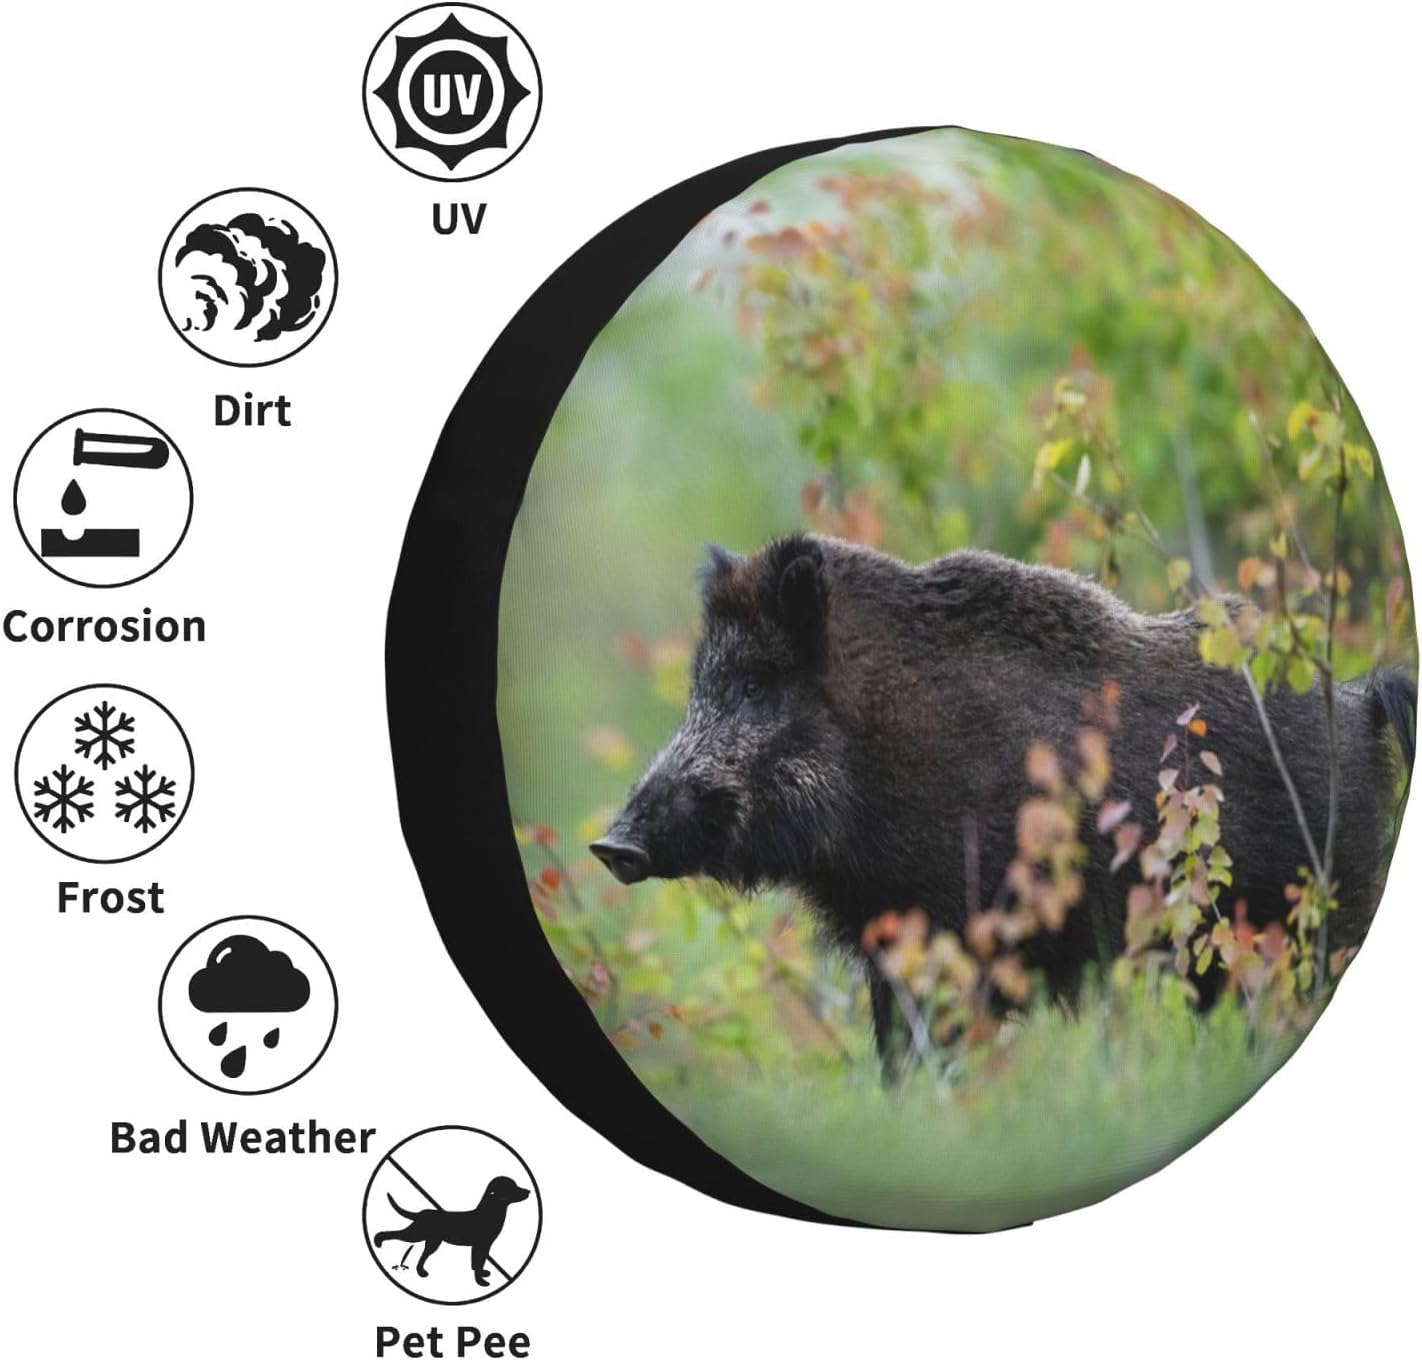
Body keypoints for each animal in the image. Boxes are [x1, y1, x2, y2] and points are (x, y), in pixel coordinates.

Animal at [589, 534, 1414, 1059]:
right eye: (701, 685)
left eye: (756, 686)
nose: (611, 843)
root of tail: (1361, 699)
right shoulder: (891, 948)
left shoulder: (964, 928)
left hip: (1319, 906)